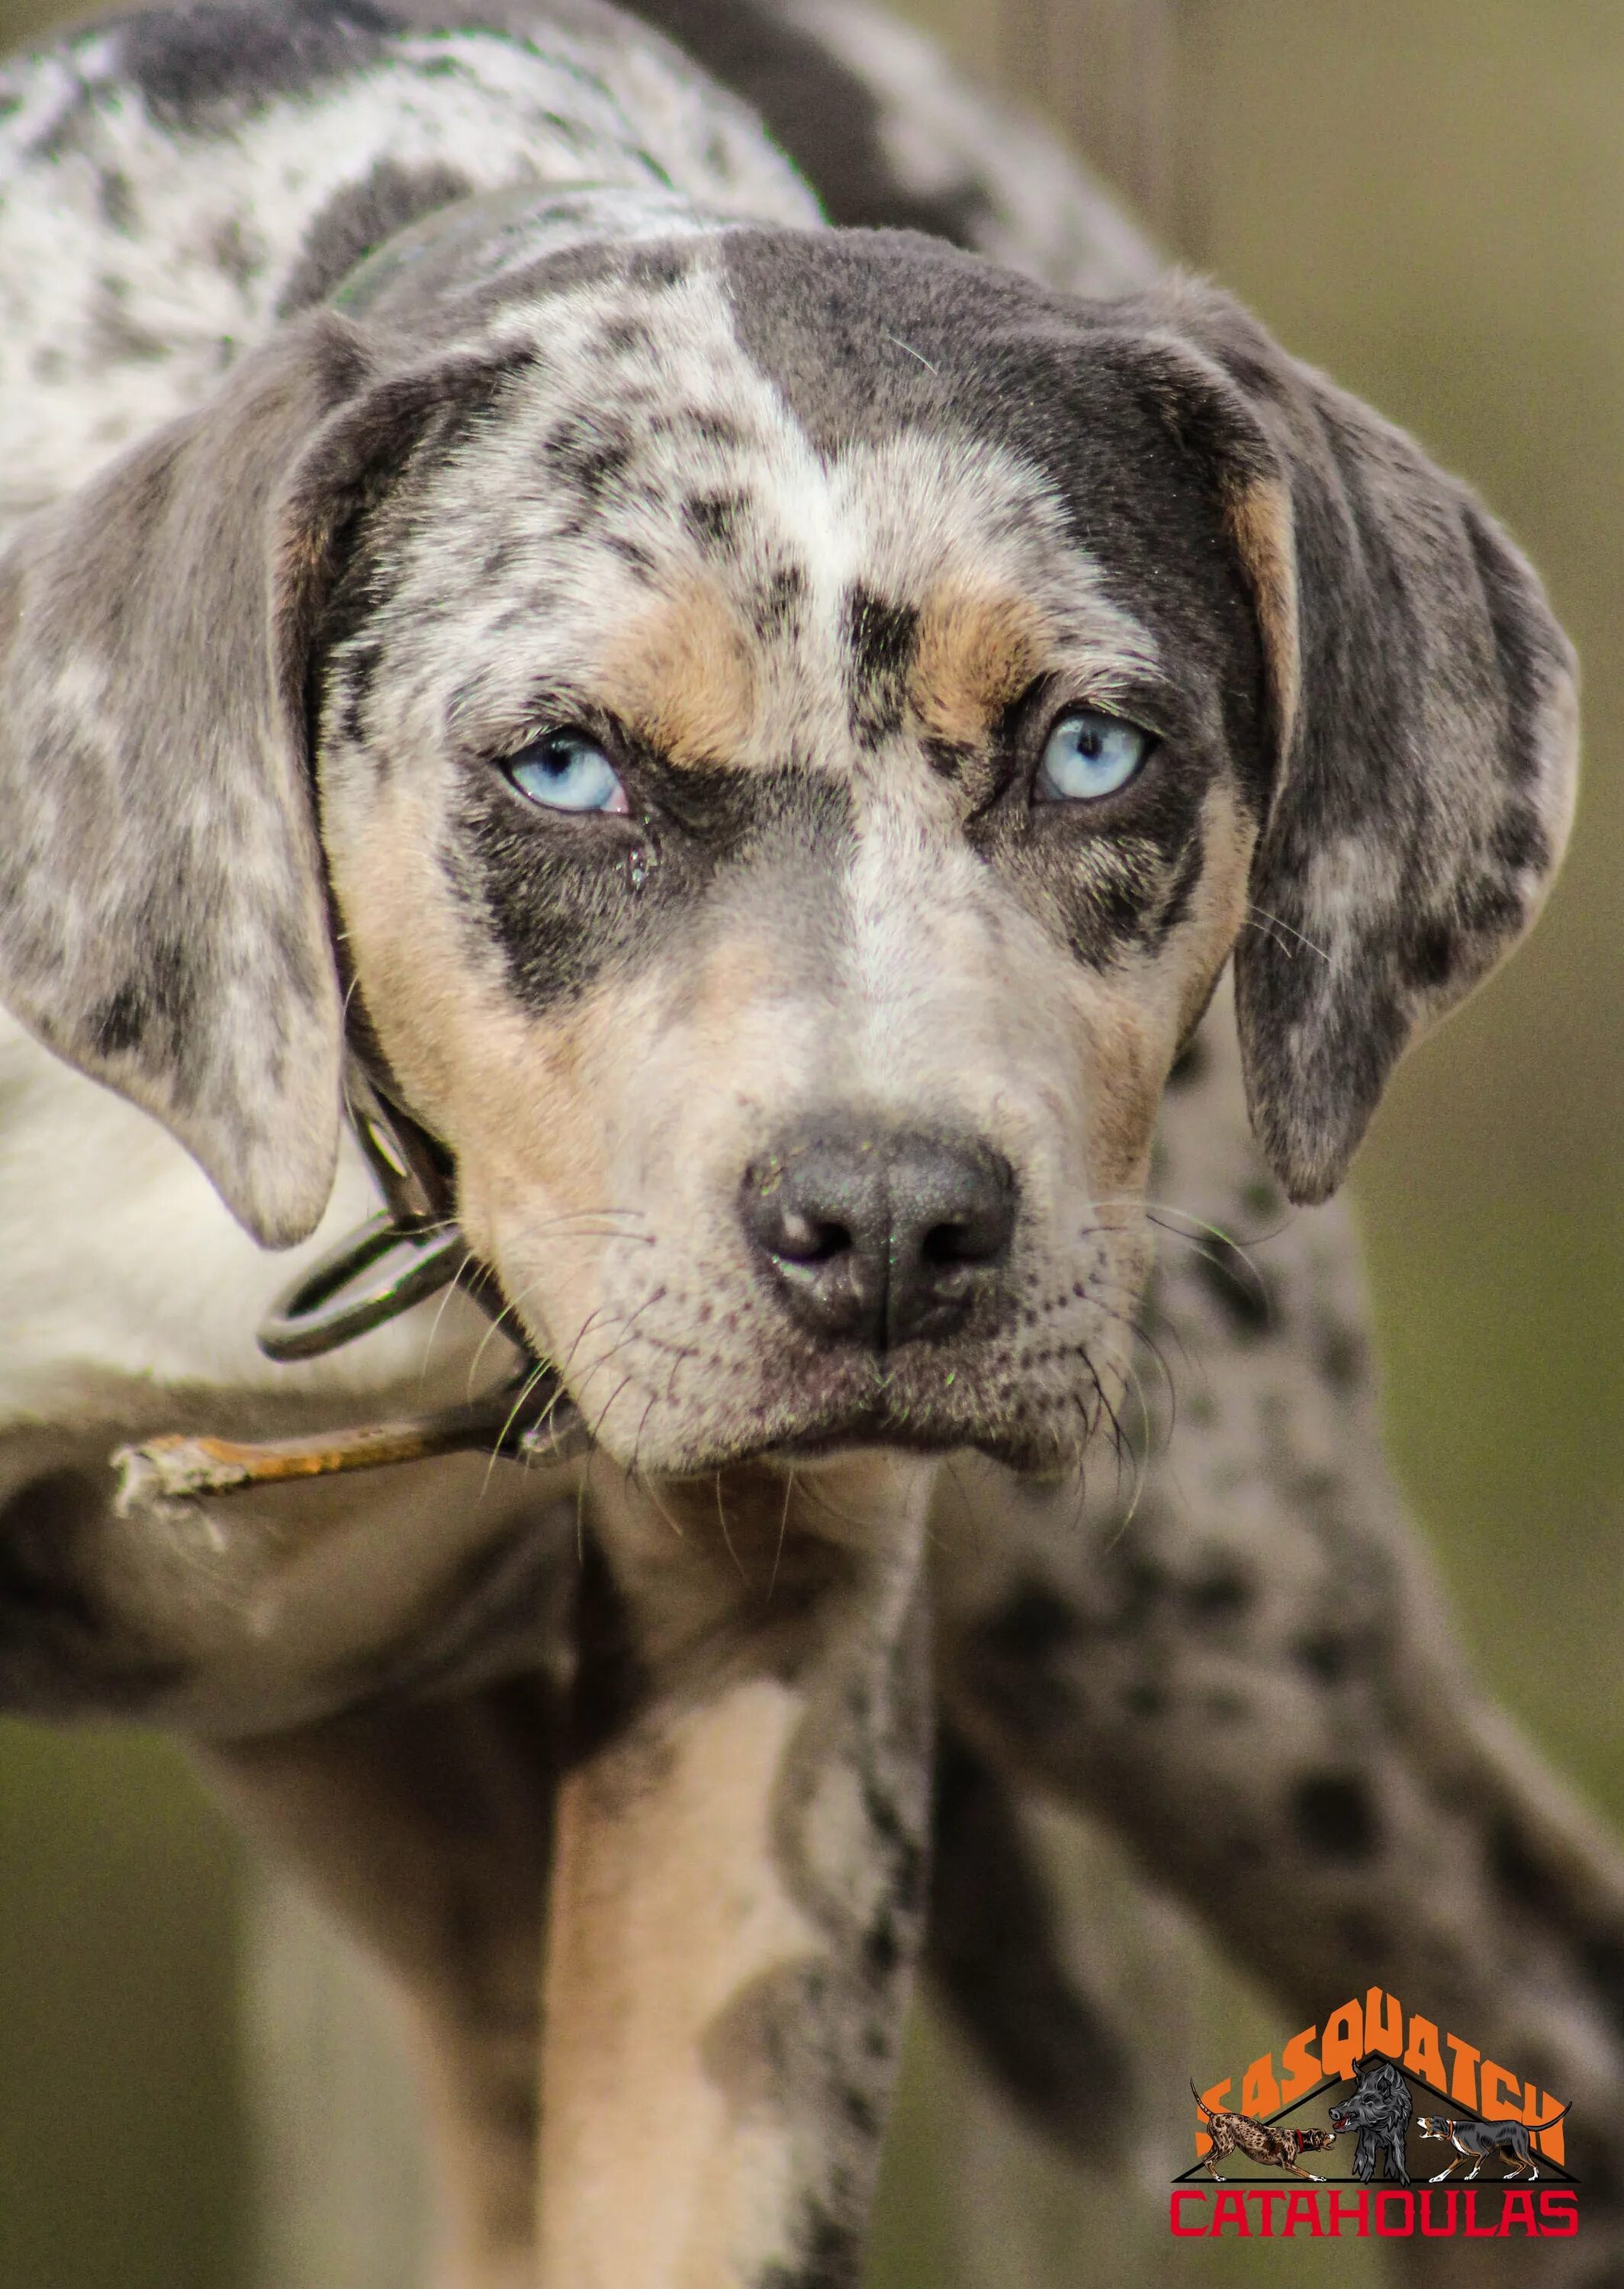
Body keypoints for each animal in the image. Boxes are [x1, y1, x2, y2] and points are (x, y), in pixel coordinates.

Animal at [1189, 2078, 1345, 2179]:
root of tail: (1214, 2115)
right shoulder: (1287, 2164)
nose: (1335, 2135)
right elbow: (1305, 2172)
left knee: (1205, 2159)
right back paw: (1218, 2177)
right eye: (1325, 2135)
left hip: (1218, 2145)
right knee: (1210, 2161)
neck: (1297, 2138)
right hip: (1227, 2146)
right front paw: (1317, 2177)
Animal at [1336, 2069, 1409, 2188]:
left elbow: (1399, 2156)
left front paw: (1405, 2182)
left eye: (1368, 2099)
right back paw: (1357, 2169)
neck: (1381, 2128)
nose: (1333, 2111)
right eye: (1355, 2095)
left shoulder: (1398, 2133)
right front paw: (1364, 2179)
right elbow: (1370, 2156)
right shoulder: (1369, 2135)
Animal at [1418, 2106, 1574, 2179]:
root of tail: (1522, 2125)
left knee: (1533, 2164)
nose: (1418, 2118)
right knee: (1522, 2165)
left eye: (1431, 2119)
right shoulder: (1461, 2158)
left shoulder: (1483, 2153)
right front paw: (1437, 2178)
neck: (1454, 2130)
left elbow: (1476, 2165)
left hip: (1521, 2150)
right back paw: (1510, 2176)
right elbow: (1448, 2169)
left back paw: (1534, 2177)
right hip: (1505, 2155)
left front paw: (1471, 2175)